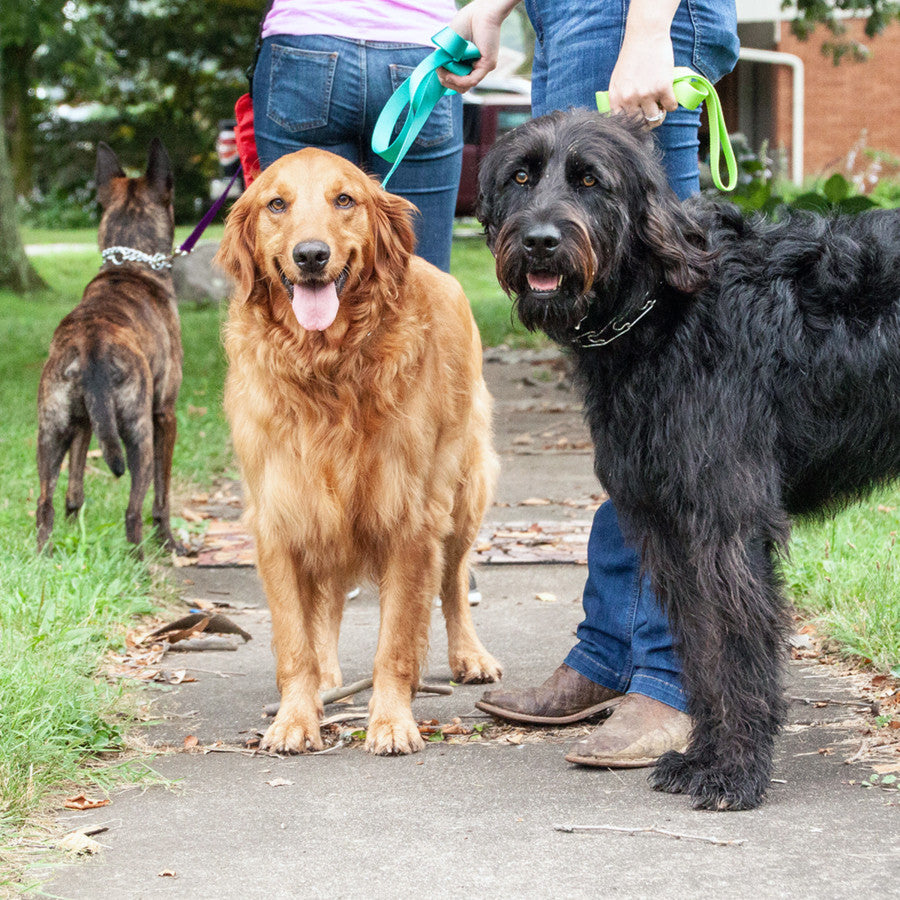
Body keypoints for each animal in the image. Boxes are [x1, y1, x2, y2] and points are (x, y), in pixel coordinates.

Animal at [37, 138, 181, 552]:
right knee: (134, 509)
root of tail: (91, 345)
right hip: (138, 433)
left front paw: (74, 529)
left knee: (43, 504)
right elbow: (163, 494)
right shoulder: (165, 415)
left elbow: (74, 487)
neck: (127, 265)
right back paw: (141, 558)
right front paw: (169, 541)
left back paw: (44, 554)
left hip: (51, 430)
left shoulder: (84, 423)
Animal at [215, 148, 502, 752]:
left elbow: (395, 639)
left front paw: (391, 720)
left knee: (453, 581)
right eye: (276, 204)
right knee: (326, 607)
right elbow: (295, 640)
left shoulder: (411, 515)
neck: (327, 366)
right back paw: (327, 679)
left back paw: (469, 655)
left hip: (463, 491)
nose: (311, 255)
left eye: (344, 199)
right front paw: (295, 717)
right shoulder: (280, 516)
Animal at [478, 109, 900, 812]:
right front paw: (705, 753)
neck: (663, 309)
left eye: (590, 180)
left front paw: (737, 771)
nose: (539, 242)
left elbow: (735, 644)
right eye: (520, 176)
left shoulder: (724, 524)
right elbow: (702, 648)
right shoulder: (668, 526)